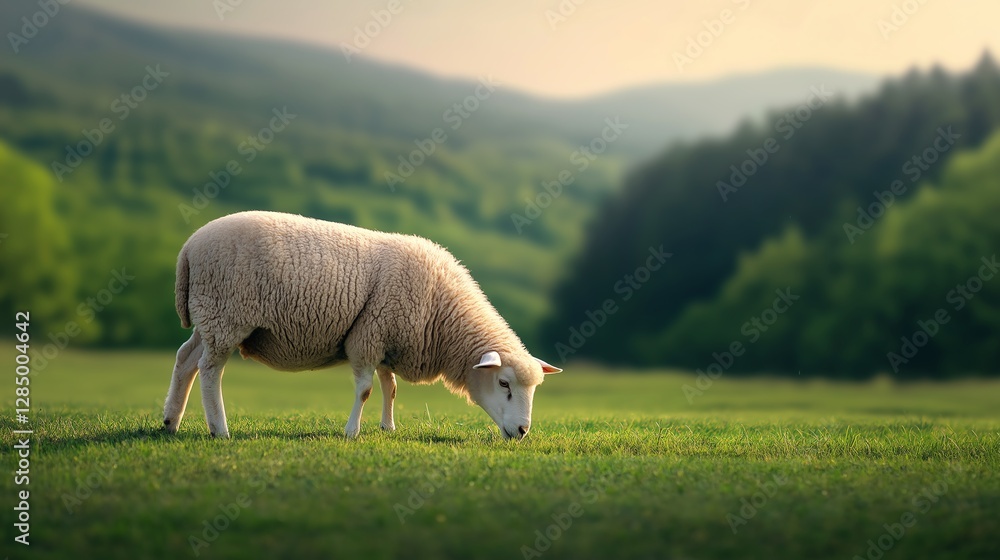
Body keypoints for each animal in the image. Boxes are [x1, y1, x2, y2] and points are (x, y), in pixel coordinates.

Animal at [162, 211, 561, 440]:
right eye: (504, 383)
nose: (523, 431)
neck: (441, 312)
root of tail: (189, 247)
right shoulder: (368, 337)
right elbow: (367, 390)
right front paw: (352, 432)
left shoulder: (386, 338)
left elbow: (390, 388)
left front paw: (388, 427)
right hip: (226, 315)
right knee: (210, 371)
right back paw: (219, 429)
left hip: (210, 318)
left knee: (185, 359)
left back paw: (171, 421)